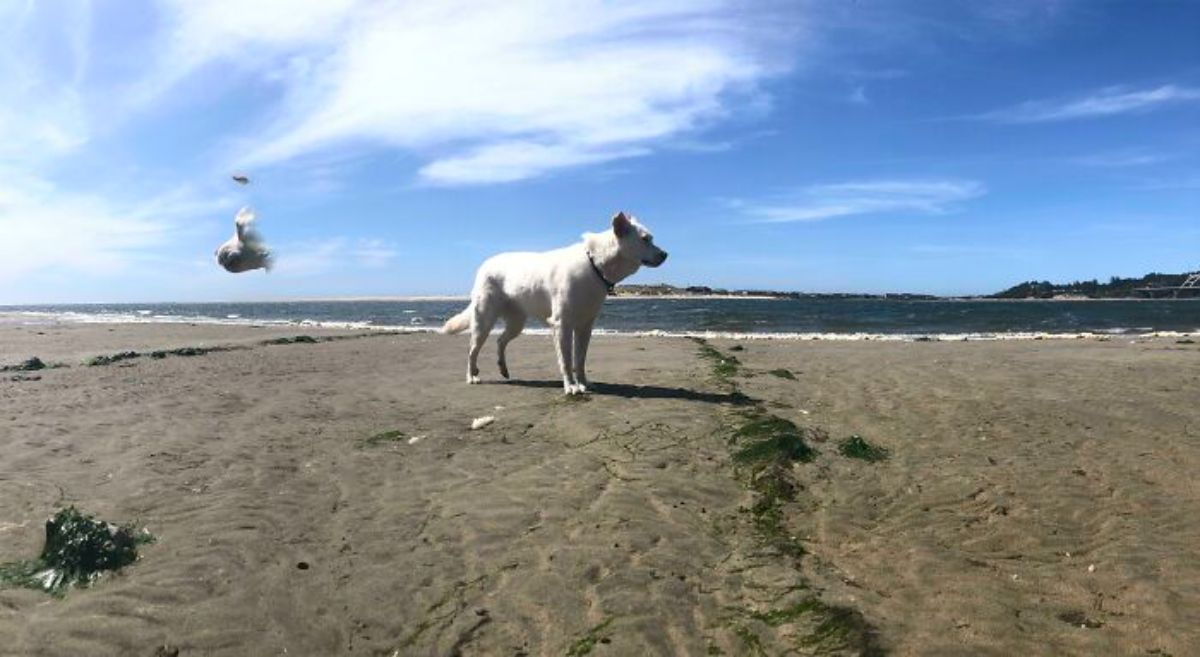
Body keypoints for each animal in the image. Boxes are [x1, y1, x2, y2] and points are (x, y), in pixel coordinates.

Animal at [441, 213, 667, 393]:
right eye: (645, 239)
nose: (665, 254)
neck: (594, 264)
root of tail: (484, 264)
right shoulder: (562, 325)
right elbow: (566, 361)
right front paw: (571, 387)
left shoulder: (585, 327)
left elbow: (580, 360)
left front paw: (584, 383)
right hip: (484, 322)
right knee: (472, 351)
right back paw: (472, 376)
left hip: (516, 324)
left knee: (500, 341)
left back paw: (503, 369)